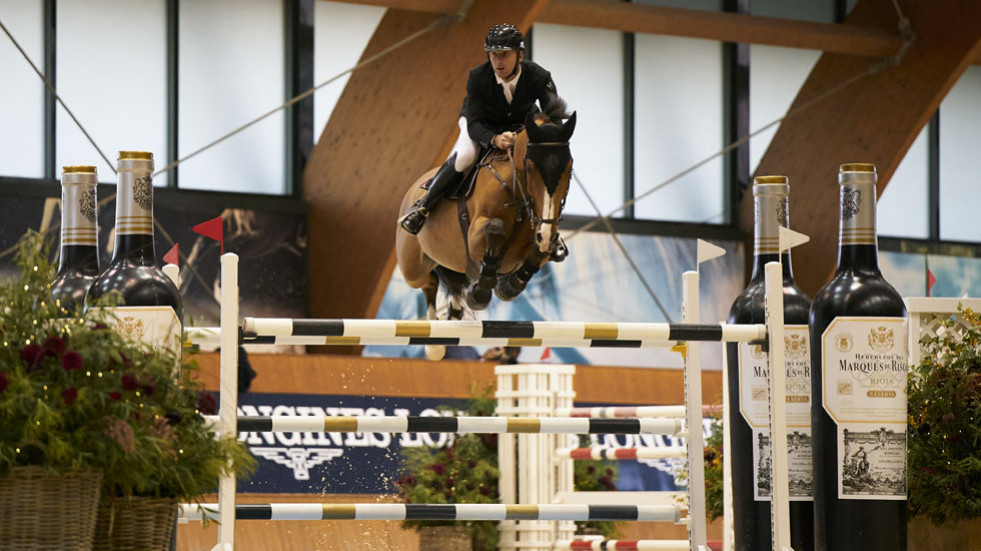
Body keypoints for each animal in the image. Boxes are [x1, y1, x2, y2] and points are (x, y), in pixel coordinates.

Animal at [396, 108, 576, 360]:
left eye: (569, 169)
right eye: (530, 168)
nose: (546, 231)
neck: (520, 196)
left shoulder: (541, 235)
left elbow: (539, 252)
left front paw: (510, 285)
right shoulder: (474, 238)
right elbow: (495, 229)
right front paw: (480, 293)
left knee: (451, 284)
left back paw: (454, 313)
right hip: (412, 267)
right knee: (429, 282)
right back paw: (434, 344)